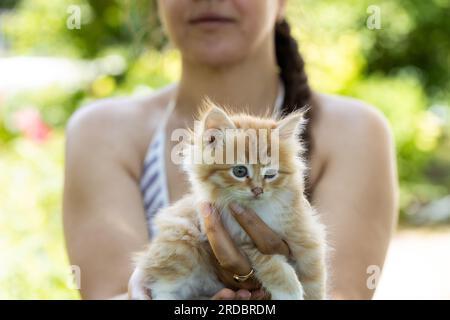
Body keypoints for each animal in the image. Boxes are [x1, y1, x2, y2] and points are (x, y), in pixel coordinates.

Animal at [134, 100, 326, 300]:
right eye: (240, 171)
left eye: (271, 174)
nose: (258, 190)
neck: (258, 210)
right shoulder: (239, 240)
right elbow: (266, 260)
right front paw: (288, 289)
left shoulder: (305, 232)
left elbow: (314, 277)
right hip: (181, 239)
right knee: (163, 287)